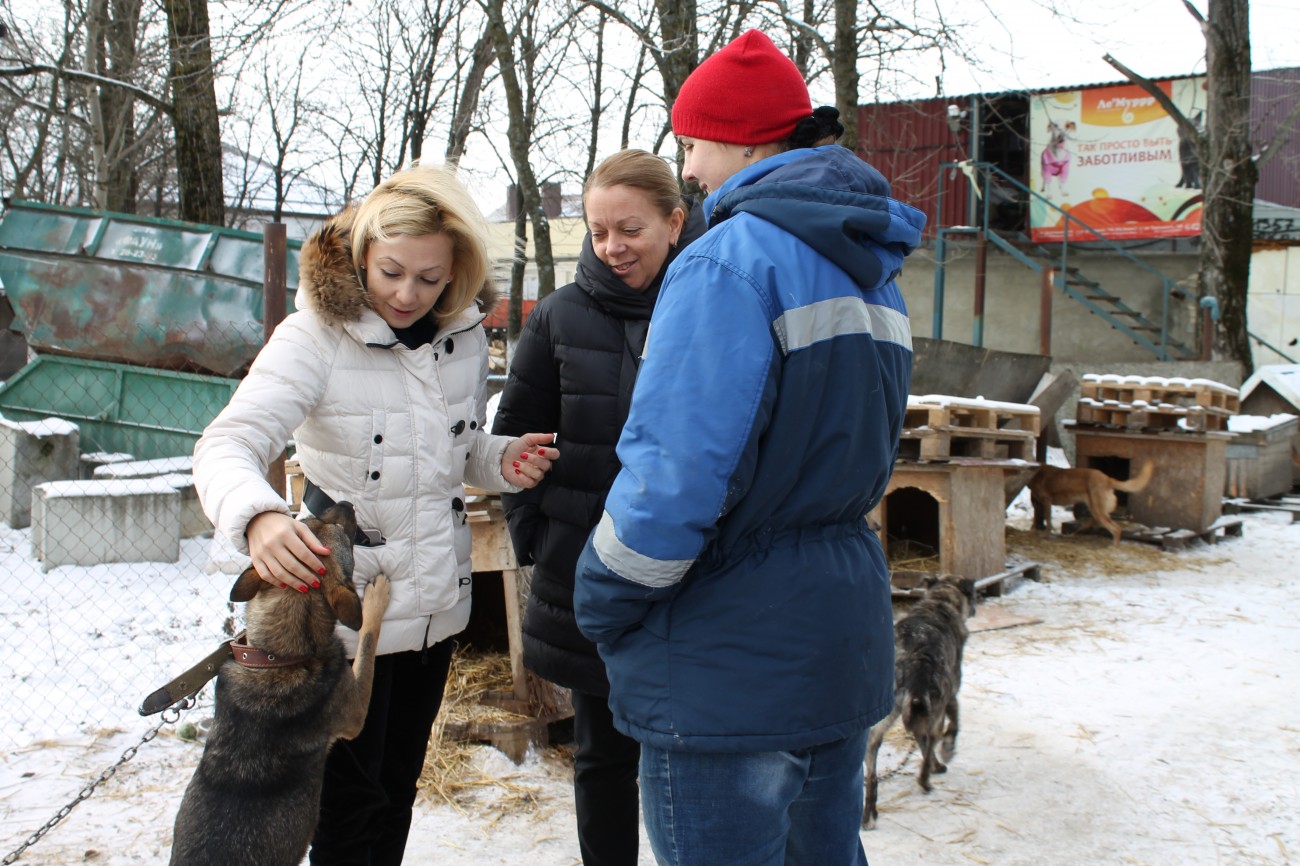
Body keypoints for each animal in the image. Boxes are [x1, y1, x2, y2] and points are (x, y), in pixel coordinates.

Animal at [863, 569, 977, 826]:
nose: (975, 609)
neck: (939, 601)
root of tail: (912, 661)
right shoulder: (950, 694)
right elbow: (952, 726)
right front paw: (944, 756)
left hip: (883, 720)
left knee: (872, 762)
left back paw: (869, 813)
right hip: (933, 703)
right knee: (931, 737)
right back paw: (925, 781)